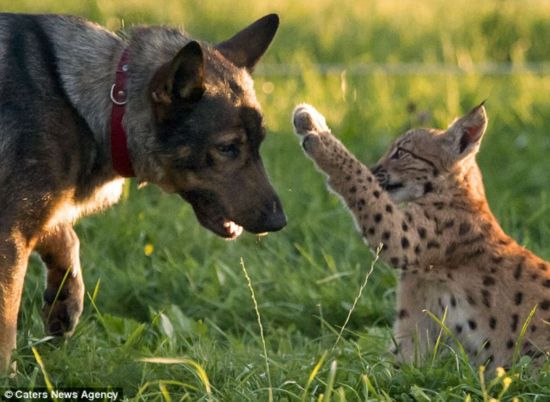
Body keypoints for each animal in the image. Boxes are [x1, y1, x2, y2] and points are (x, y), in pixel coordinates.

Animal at [0, 12, 284, 370]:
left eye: (259, 144)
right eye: (227, 148)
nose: (280, 222)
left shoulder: (33, 214)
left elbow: (65, 238)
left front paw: (64, 302)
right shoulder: (10, 232)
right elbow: (6, 325)